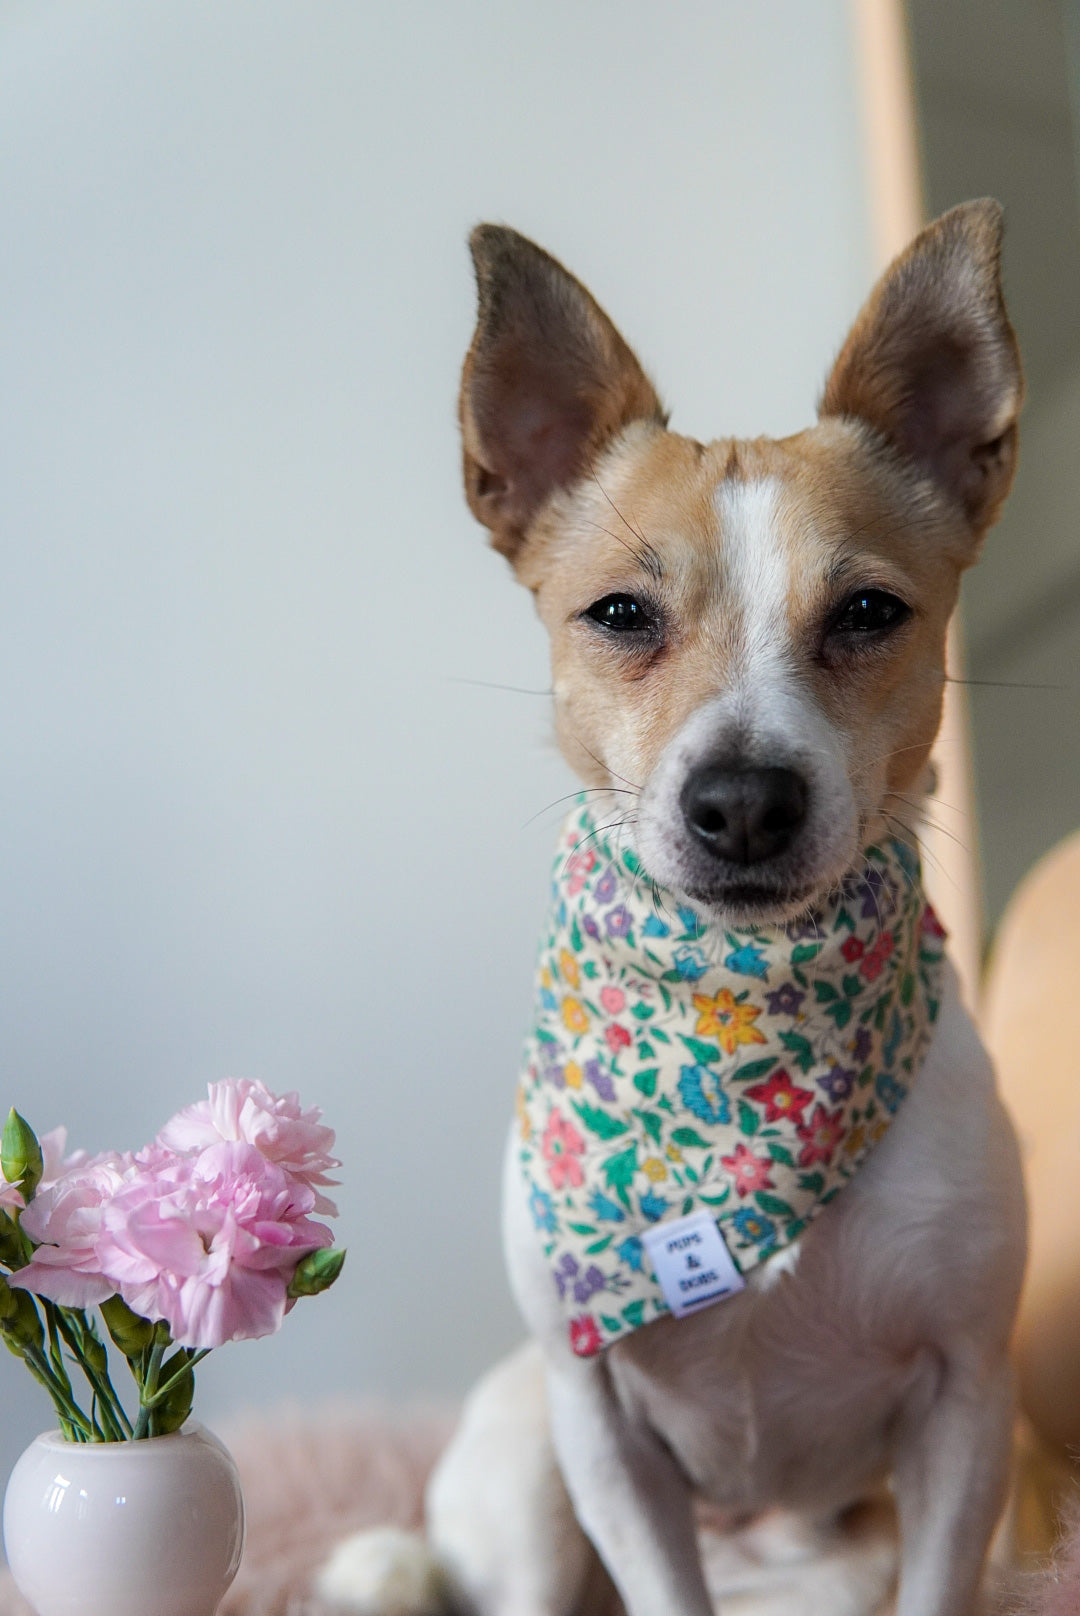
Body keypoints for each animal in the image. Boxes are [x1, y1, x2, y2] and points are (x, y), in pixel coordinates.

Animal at [323, 205, 1028, 1616]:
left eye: (869, 611)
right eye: (620, 613)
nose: (744, 800)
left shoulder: (972, 1405)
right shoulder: (598, 1425)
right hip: (533, 1467)